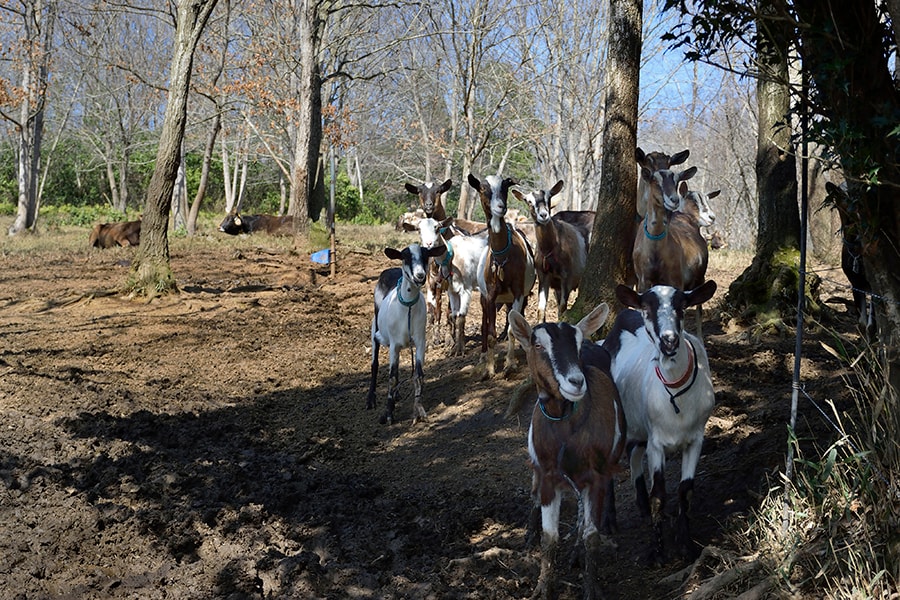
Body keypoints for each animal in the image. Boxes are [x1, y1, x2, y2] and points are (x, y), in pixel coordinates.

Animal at [366, 241, 446, 424]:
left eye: (426, 256)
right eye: (405, 256)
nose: (420, 275)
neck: (407, 308)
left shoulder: (420, 342)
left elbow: (418, 375)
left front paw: (419, 410)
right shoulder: (394, 345)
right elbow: (392, 377)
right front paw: (388, 414)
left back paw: (396, 395)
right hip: (375, 329)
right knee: (375, 364)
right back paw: (371, 399)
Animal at [472, 171, 536, 378]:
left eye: (505, 187)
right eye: (483, 189)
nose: (500, 207)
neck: (501, 258)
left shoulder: (518, 293)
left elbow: (512, 330)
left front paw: (509, 365)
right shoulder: (491, 295)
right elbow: (491, 333)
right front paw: (490, 369)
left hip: (515, 298)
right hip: (485, 298)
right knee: (484, 325)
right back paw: (483, 357)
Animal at [510, 304, 628, 600]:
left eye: (576, 343)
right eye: (537, 344)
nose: (575, 382)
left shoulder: (595, 476)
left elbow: (591, 534)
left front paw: (591, 588)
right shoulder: (548, 474)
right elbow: (549, 537)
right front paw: (542, 588)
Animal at [512, 179, 592, 324]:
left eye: (549, 197)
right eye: (528, 201)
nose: (544, 215)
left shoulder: (567, 278)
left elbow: (562, 308)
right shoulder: (544, 276)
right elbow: (541, 309)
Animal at [600, 282, 720, 564]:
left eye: (682, 306)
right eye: (646, 308)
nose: (669, 341)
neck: (677, 396)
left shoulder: (696, 439)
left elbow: (685, 491)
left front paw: (686, 546)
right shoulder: (657, 443)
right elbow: (660, 494)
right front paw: (658, 553)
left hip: (638, 427)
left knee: (633, 453)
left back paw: (642, 507)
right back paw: (609, 521)